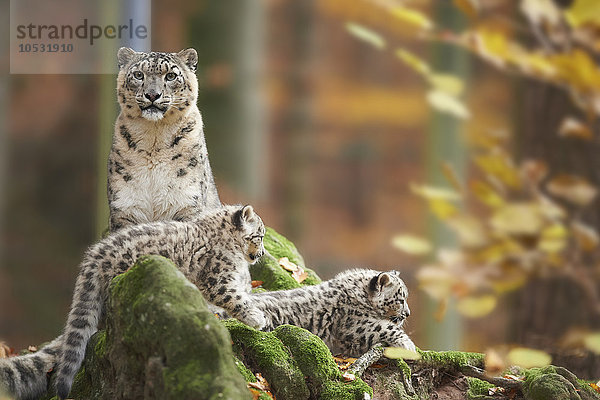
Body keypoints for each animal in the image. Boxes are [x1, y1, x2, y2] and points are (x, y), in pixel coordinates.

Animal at [0, 205, 264, 398]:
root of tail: (93, 258)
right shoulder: (218, 280)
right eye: (259, 236)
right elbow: (235, 297)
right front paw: (257, 318)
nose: (261, 254)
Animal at [108, 47, 220, 231]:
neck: (155, 137)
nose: (152, 94)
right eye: (138, 75)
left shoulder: (188, 201)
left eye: (171, 76)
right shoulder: (125, 205)